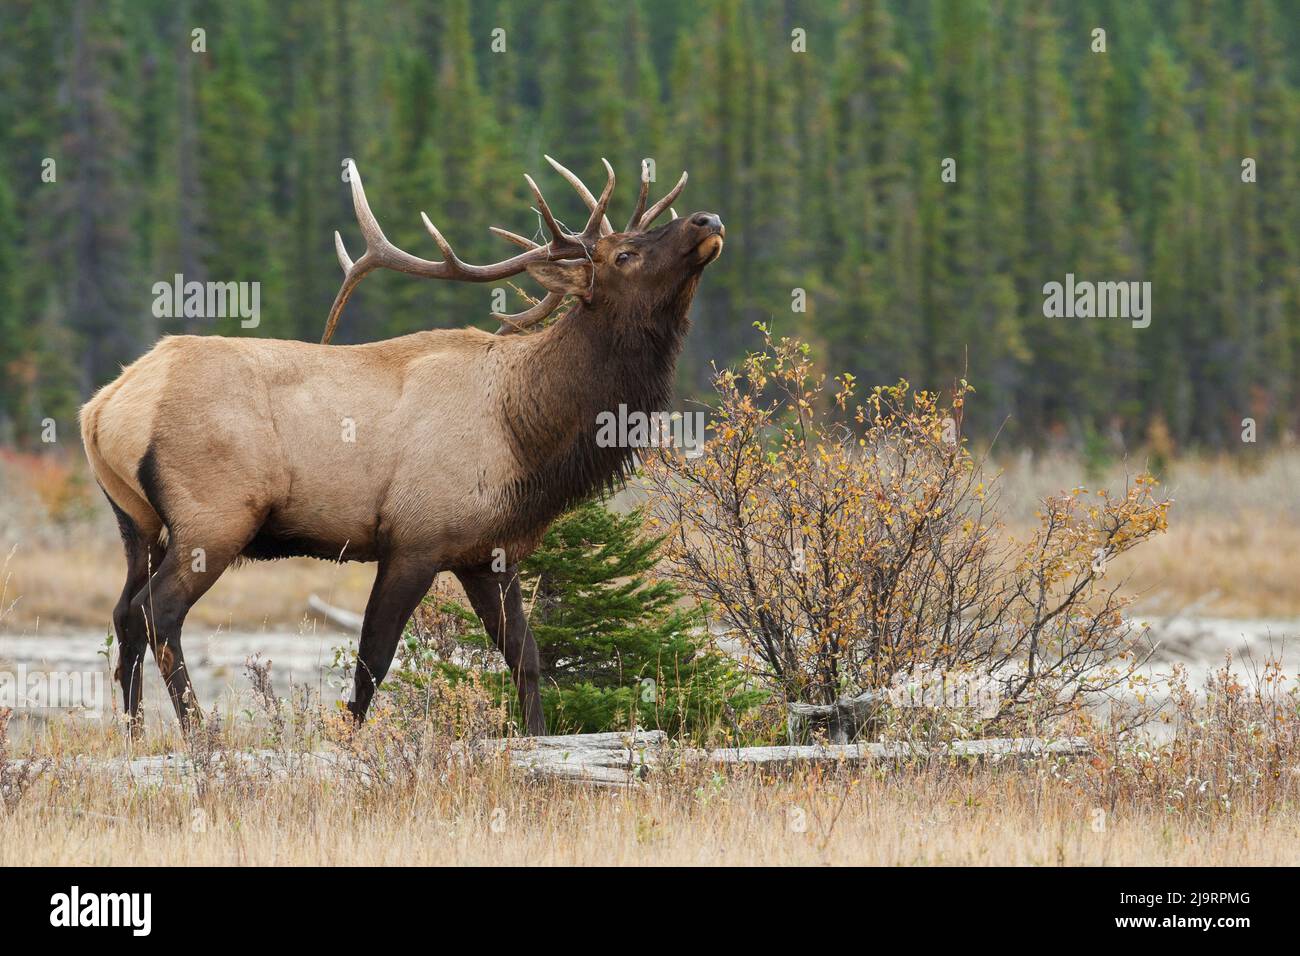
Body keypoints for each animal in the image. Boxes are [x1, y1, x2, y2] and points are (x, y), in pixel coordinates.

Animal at [79, 155, 723, 736]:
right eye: (624, 254)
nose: (708, 218)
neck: (526, 435)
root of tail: (102, 408)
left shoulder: (488, 553)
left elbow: (526, 657)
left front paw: (538, 737)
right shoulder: (414, 537)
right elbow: (373, 660)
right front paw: (349, 742)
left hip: (137, 522)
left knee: (124, 614)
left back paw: (134, 732)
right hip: (214, 517)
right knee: (158, 612)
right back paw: (197, 733)